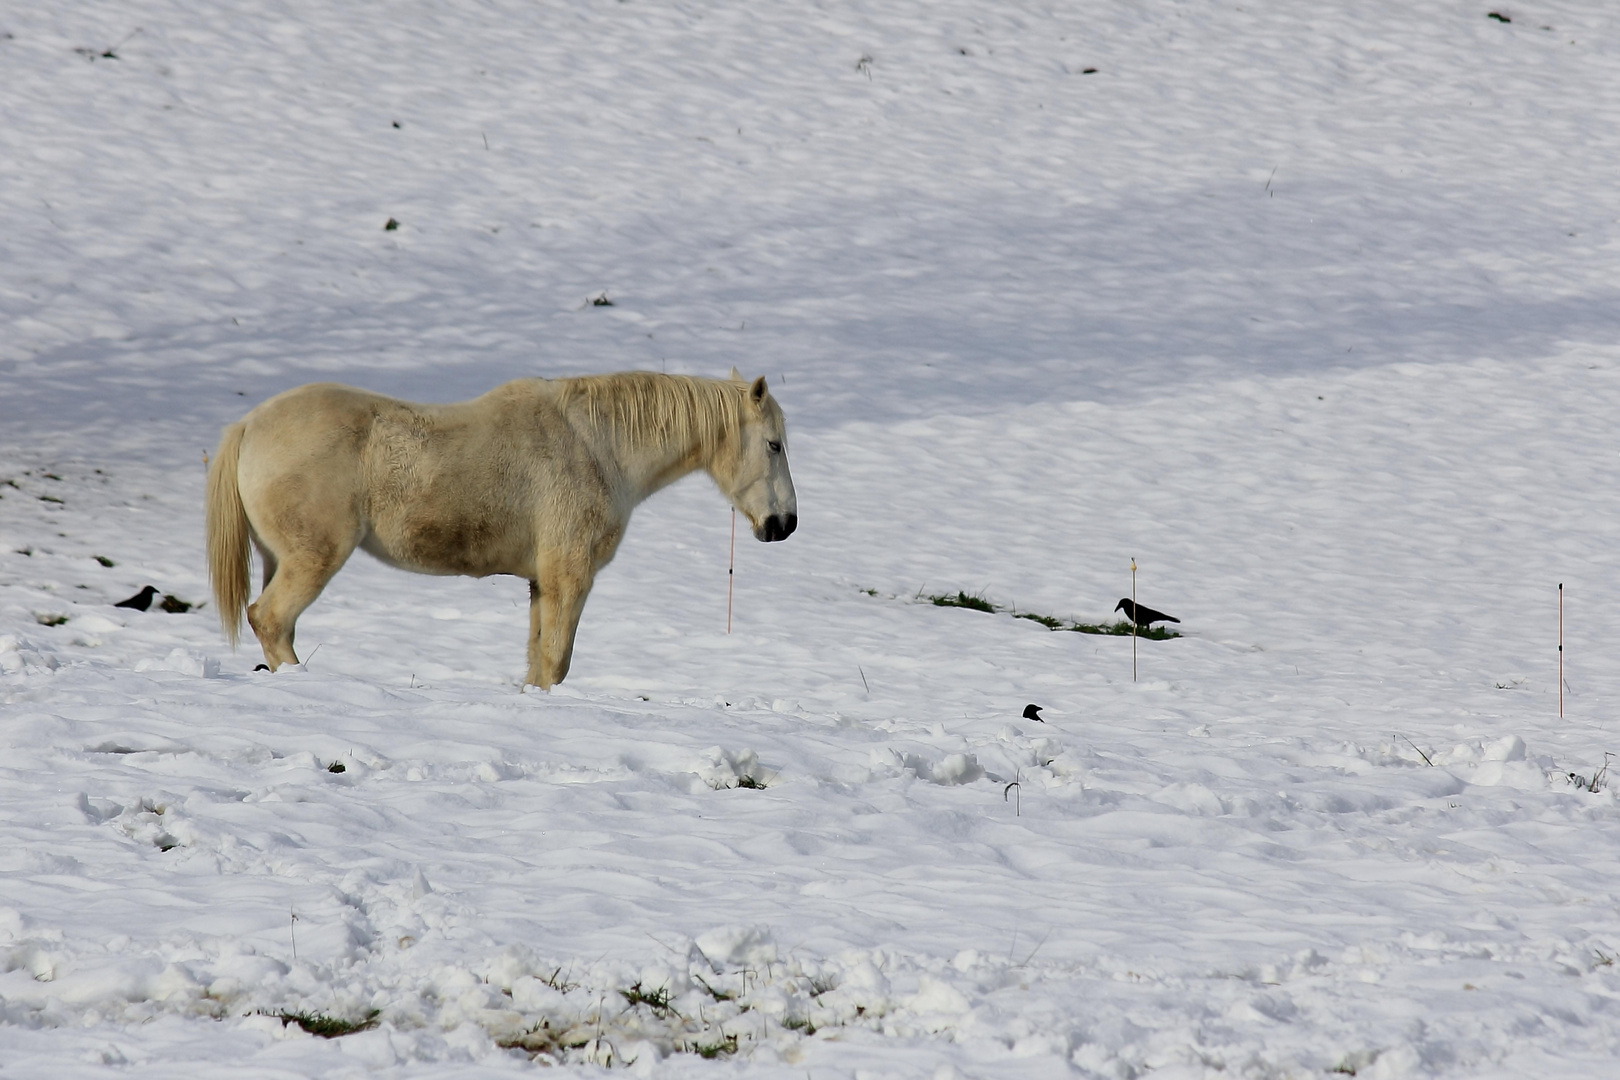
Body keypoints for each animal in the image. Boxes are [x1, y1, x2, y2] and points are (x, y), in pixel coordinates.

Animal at [205, 372, 800, 689]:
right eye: (774, 444)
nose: (785, 524)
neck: (595, 447)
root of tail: (249, 426)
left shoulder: (541, 584)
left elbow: (538, 662)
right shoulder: (568, 578)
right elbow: (556, 661)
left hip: (279, 558)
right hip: (314, 558)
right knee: (271, 620)